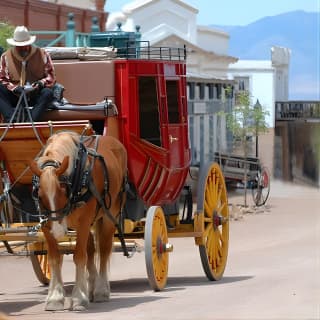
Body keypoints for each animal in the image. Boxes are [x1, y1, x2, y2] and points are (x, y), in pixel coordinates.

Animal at [30, 131, 127, 312]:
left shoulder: (83, 222)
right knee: (91, 249)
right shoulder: (47, 224)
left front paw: (78, 298)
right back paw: (91, 286)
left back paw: (101, 290)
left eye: (63, 191)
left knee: (104, 250)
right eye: (39, 196)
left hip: (110, 214)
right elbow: (54, 257)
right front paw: (55, 298)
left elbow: (79, 256)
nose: (58, 232)